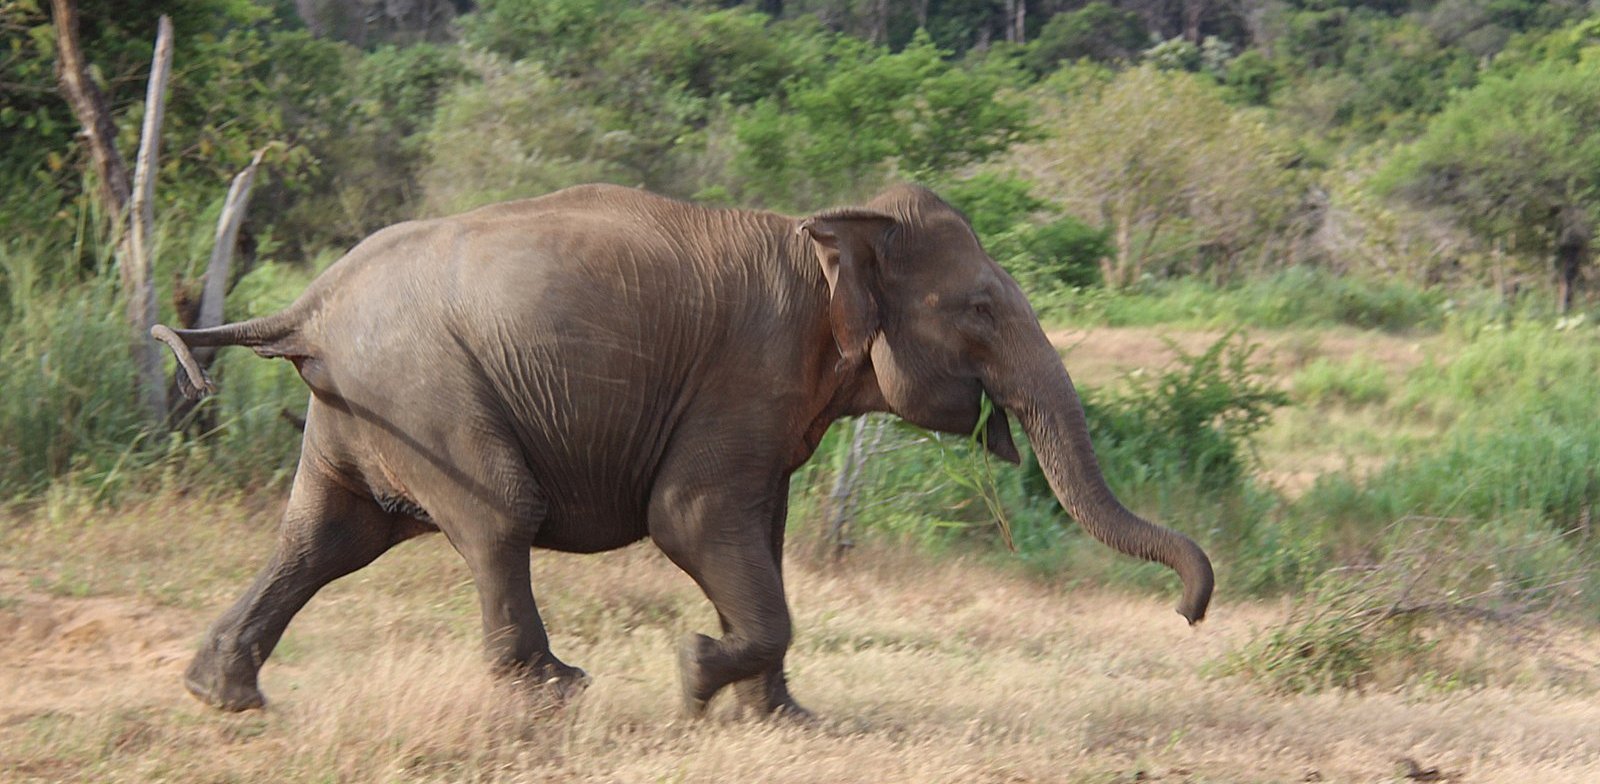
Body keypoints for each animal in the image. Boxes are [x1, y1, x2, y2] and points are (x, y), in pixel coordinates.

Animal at [156, 182, 1209, 716]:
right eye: (983, 309)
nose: (1192, 612)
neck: (826, 228)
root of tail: (308, 306)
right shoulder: (748, 371)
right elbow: (692, 520)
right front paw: (696, 675)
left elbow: (760, 536)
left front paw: (782, 721)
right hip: (424, 388)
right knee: (498, 515)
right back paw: (557, 696)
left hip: (366, 402)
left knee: (325, 538)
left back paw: (224, 697)